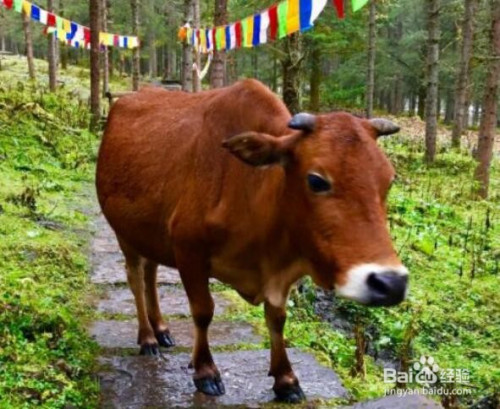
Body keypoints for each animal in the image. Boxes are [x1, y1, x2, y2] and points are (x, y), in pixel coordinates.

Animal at [95, 79, 408, 402]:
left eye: (389, 180)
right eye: (317, 180)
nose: (390, 283)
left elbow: (277, 318)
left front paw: (286, 379)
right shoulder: (188, 251)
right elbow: (203, 311)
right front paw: (205, 371)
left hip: (151, 235)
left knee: (150, 274)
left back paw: (161, 329)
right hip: (124, 233)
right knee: (135, 278)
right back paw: (147, 337)